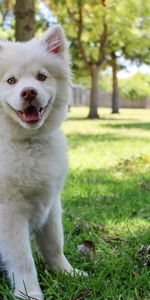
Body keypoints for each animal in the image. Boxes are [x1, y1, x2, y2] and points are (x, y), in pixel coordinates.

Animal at [0, 25, 77, 300]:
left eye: (41, 77)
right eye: (11, 81)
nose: (29, 91)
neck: (28, 143)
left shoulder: (51, 204)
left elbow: (54, 243)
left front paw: (67, 273)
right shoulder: (10, 213)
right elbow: (23, 258)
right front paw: (29, 292)